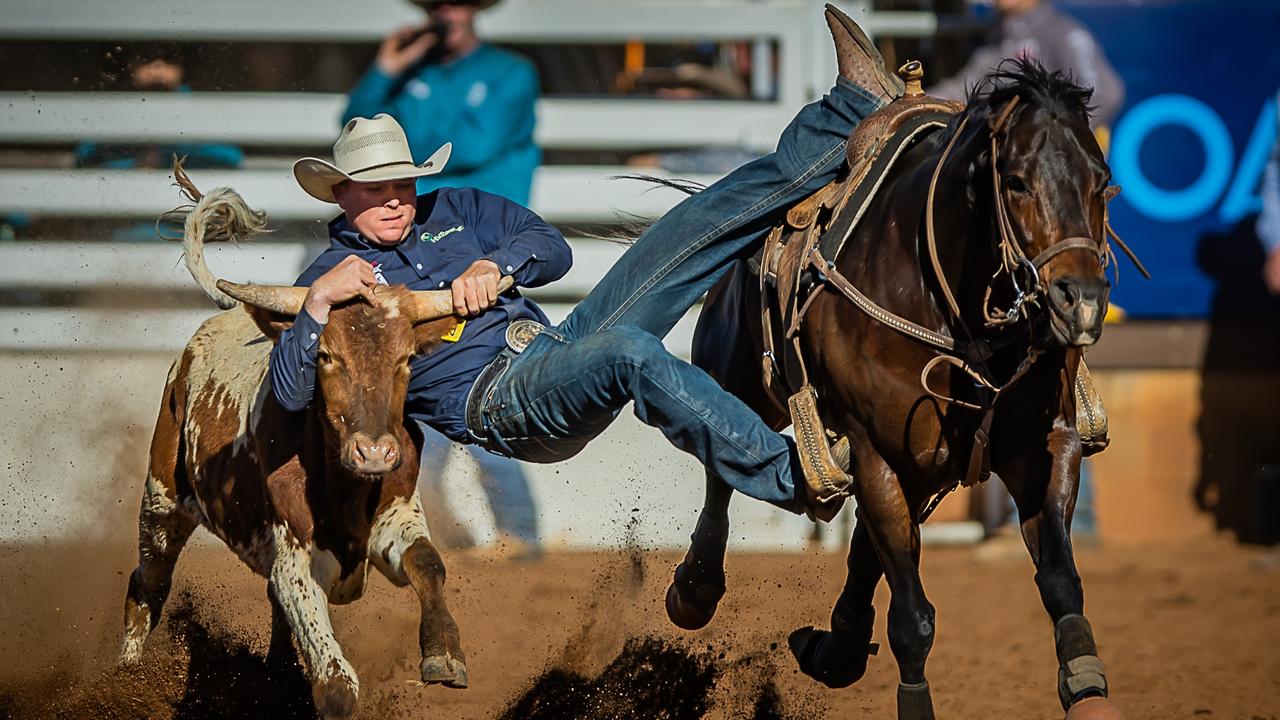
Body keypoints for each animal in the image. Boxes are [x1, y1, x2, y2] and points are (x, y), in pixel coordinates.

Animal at [670, 61, 1131, 717]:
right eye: (1015, 181)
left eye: (1102, 181)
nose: (1083, 301)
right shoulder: (876, 453)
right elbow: (913, 618)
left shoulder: (1044, 444)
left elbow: (1061, 580)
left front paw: (1088, 685)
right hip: (736, 375)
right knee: (719, 473)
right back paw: (696, 589)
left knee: (867, 546)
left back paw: (836, 646)